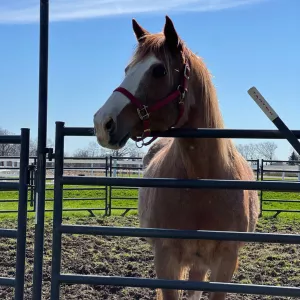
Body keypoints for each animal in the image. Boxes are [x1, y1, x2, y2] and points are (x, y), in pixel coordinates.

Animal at [92, 15, 258, 300]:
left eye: (159, 71)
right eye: (127, 69)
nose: (103, 122)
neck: (204, 182)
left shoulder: (226, 260)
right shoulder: (166, 257)